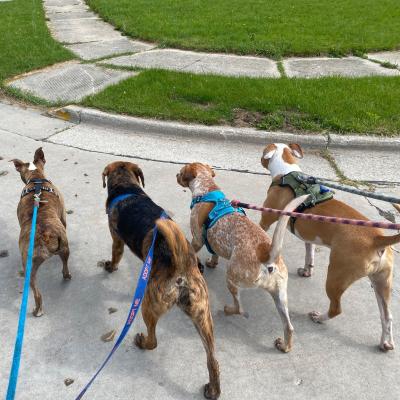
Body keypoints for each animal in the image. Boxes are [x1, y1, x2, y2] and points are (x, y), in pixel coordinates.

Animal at [11, 148, 70, 318]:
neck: (36, 180)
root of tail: (45, 234)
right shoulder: (63, 218)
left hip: (29, 266)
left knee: (37, 293)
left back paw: (37, 310)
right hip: (64, 247)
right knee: (64, 265)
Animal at [100, 161, 219, 398]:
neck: (127, 187)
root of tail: (181, 266)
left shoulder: (116, 239)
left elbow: (115, 256)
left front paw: (109, 266)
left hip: (148, 306)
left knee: (154, 341)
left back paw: (142, 342)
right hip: (203, 317)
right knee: (213, 360)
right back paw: (214, 389)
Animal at [177, 161, 306, 352]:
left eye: (181, 171)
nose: (176, 175)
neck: (207, 189)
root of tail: (268, 256)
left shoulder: (197, 239)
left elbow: (193, 250)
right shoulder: (213, 241)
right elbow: (214, 253)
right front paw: (212, 262)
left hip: (232, 278)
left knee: (240, 309)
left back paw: (228, 309)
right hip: (280, 295)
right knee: (289, 327)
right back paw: (285, 346)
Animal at [260, 143, 400, 350]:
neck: (287, 171)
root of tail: (377, 239)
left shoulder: (266, 219)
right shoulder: (309, 236)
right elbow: (309, 253)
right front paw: (307, 270)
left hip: (336, 277)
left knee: (336, 308)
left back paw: (319, 317)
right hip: (381, 282)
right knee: (387, 316)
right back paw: (386, 342)